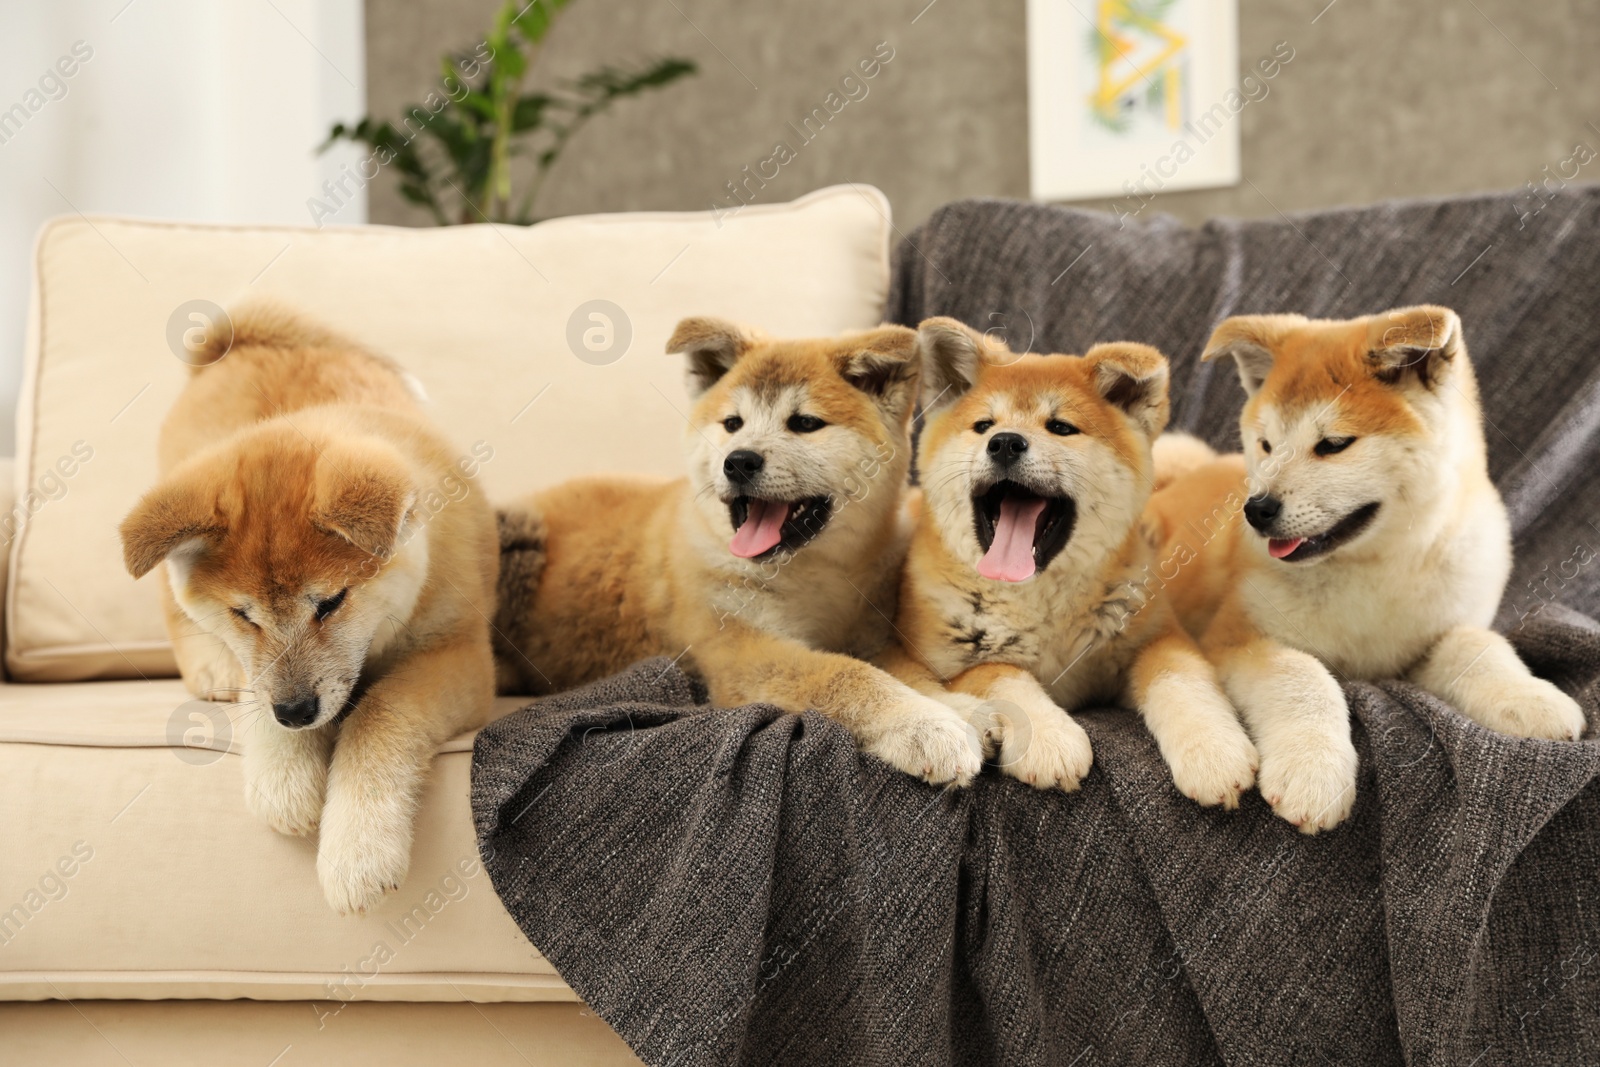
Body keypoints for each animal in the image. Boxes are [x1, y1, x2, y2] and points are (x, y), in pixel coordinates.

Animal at [119, 303, 496, 915]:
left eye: (332, 603)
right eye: (244, 616)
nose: (295, 712)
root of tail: (237, 342)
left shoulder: (456, 653)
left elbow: (380, 710)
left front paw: (358, 847)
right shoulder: (265, 673)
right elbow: (258, 687)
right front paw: (284, 777)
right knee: (170, 598)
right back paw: (211, 666)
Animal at [876, 316, 1260, 809]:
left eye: (1060, 427)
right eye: (983, 425)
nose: (1004, 443)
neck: (1043, 603)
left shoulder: (1157, 637)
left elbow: (1183, 681)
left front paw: (1213, 750)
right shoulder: (955, 660)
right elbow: (1005, 675)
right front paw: (1050, 739)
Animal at [1152, 300, 1587, 831]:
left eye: (1334, 444)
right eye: (1266, 444)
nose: (1257, 509)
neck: (1374, 567)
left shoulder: (1433, 634)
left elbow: (1478, 645)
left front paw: (1528, 697)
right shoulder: (1237, 635)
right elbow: (1304, 676)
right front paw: (1313, 770)